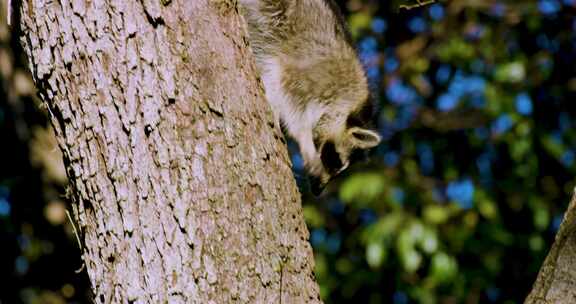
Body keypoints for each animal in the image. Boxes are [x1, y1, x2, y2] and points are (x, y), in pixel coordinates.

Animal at [240, 0, 382, 195]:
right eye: (335, 161)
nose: (318, 191)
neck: (350, 105)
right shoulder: (312, 74)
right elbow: (291, 101)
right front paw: (303, 137)